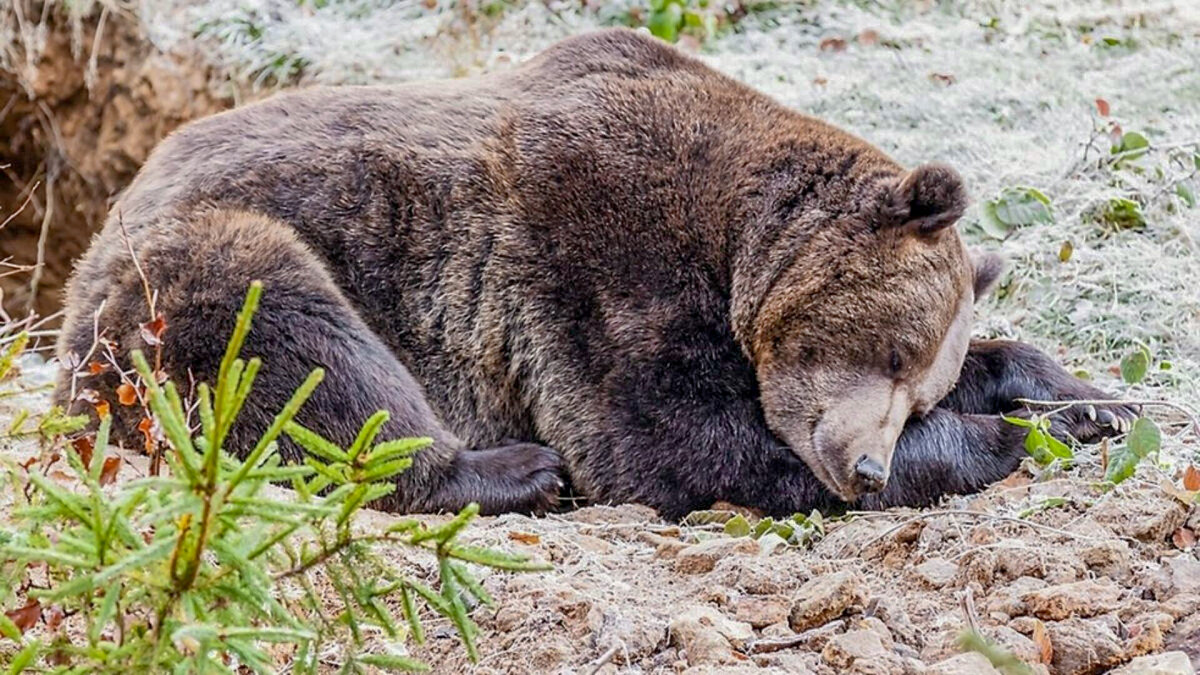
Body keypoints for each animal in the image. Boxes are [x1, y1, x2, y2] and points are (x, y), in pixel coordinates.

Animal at [56, 28, 1137, 516]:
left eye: (922, 378)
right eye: (896, 346)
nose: (864, 461)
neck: (734, 239)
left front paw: (1087, 400)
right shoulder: (592, 258)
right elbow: (670, 442)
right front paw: (1005, 439)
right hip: (185, 274)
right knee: (291, 341)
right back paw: (510, 469)